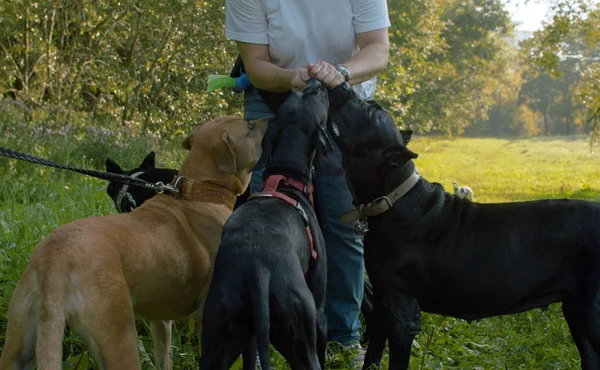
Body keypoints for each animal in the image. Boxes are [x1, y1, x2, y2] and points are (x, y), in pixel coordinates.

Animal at [0, 114, 268, 368]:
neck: (199, 192)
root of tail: (56, 256)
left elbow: (164, 358)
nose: (271, 119)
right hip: (119, 338)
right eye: (249, 127)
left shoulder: (161, 320)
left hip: (20, 342)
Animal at [202, 79, 332, 370]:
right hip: (302, 336)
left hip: (219, 338)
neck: (285, 178)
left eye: (299, 93)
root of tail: (257, 271)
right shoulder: (319, 309)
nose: (315, 81)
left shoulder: (249, 341)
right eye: (316, 95)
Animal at [330, 84, 600, 370]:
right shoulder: (383, 306)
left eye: (371, 110)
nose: (343, 84)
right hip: (576, 311)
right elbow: (372, 355)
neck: (393, 198)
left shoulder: (402, 312)